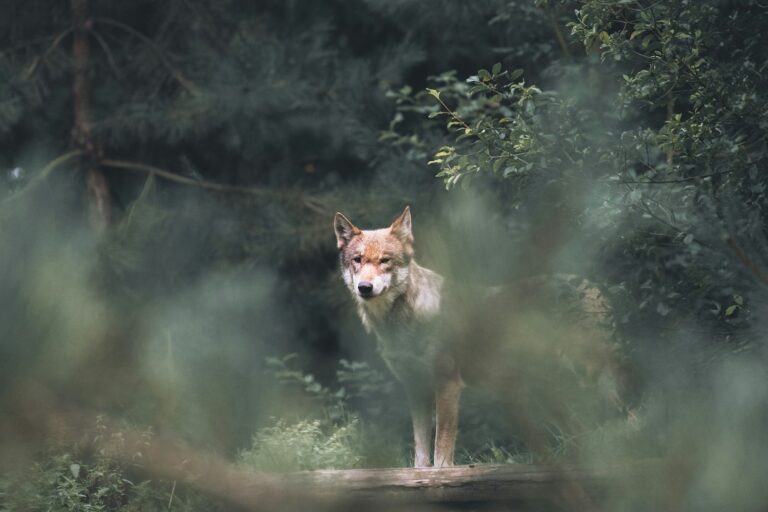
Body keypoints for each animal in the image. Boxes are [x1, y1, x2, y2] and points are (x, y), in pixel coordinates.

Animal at [334, 206, 625, 468]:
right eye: (357, 260)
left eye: (385, 260)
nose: (365, 287)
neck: (401, 324)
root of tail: (596, 287)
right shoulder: (415, 390)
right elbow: (420, 457)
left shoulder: (448, 384)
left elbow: (441, 453)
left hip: (587, 377)